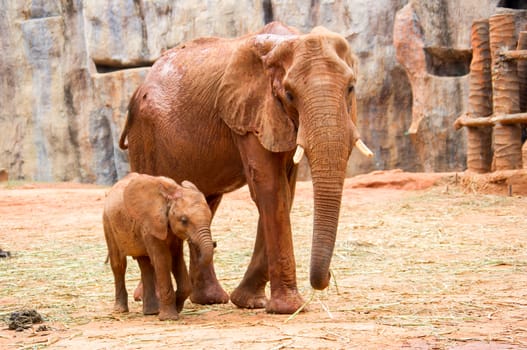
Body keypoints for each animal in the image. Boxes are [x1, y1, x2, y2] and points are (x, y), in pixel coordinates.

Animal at [103, 172, 214, 320]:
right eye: (184, 220)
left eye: (210, 216)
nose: (214, 244)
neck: (170, 196)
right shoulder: (151, 224)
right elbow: (163, 260)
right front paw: (169, 317)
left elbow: (176, 260)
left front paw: (177, 307)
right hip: (108, 223)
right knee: (119, 264)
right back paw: (120, 311)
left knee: (145, 265)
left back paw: (151, 312)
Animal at [120, 21, 376, 314]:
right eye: (289, 94)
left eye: (351, 88)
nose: (329, 277)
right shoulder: (248, 113)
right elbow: (270, 187)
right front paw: (288, 308)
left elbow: (285, 190)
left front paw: (250, 302)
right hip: (144, 135)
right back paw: (148, 298)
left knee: (206, 202)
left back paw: (210, 299)